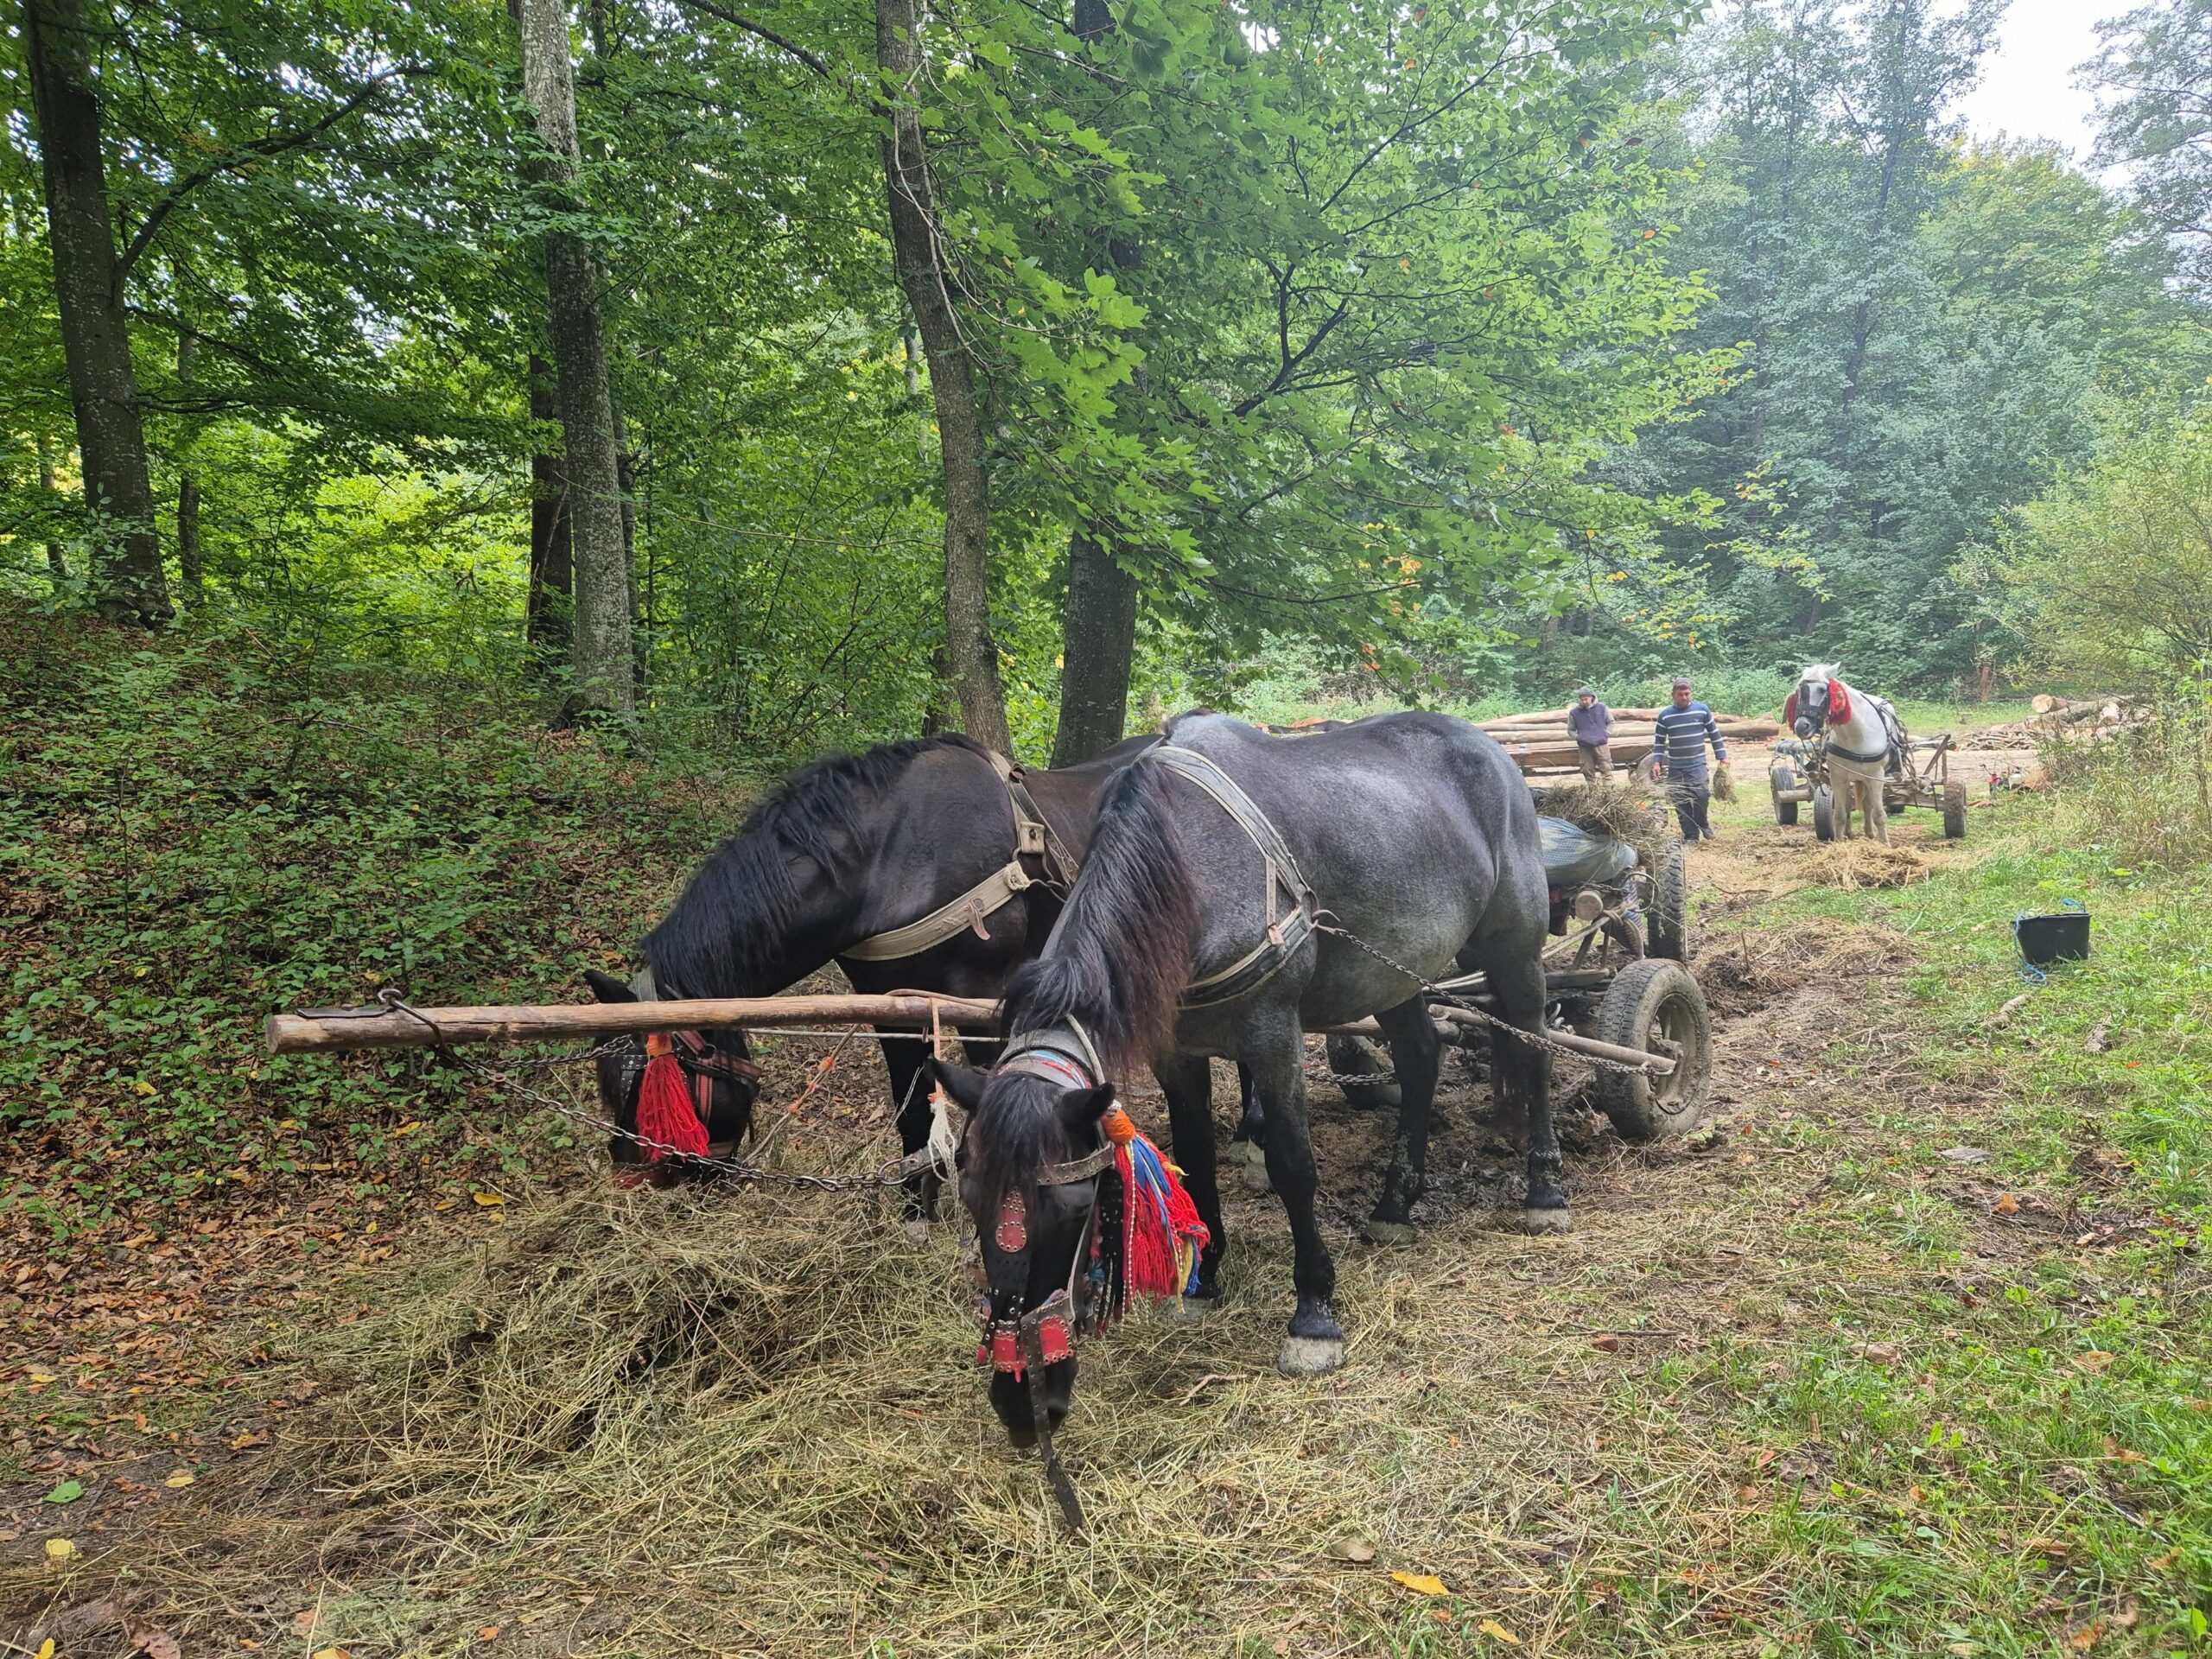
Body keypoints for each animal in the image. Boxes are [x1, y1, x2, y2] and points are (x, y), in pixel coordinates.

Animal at [582, 731, 1158, 1206]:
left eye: (654, 1085)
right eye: (609, 1084)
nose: (630, 1179)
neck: (894, 857)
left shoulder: (984, 997)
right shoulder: (891, 1004)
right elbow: (912, 1112)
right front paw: (915, 1212)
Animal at [933, 710, 1559, 1444]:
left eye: (1077, 1208)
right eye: (972, 1198)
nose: (1022, 1401)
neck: (1190, 867)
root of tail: (1492, 748)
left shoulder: (1273, 1037)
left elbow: (1293, 1166)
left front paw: (1313, 1312)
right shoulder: (1177, 1052)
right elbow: (1196, 1157)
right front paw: (1203, 1281)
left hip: (1515, 946)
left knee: (1536, 1049)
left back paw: (1544, 1187)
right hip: (1394, 972)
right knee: (1420, 1059)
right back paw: (1394, 1203)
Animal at [1787, 663, 1901, 845]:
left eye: (1822, 690)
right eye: (1799, 690)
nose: (1802, 726)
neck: (1857, 734)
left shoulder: (1876, 776)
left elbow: (1879, 813)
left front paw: (1885, 845)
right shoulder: (1838, 777)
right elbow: (1839, 814)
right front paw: (1839, 843)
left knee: (1868, 804)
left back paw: (1870, 833)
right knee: (1851, 804)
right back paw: (1852, 832)